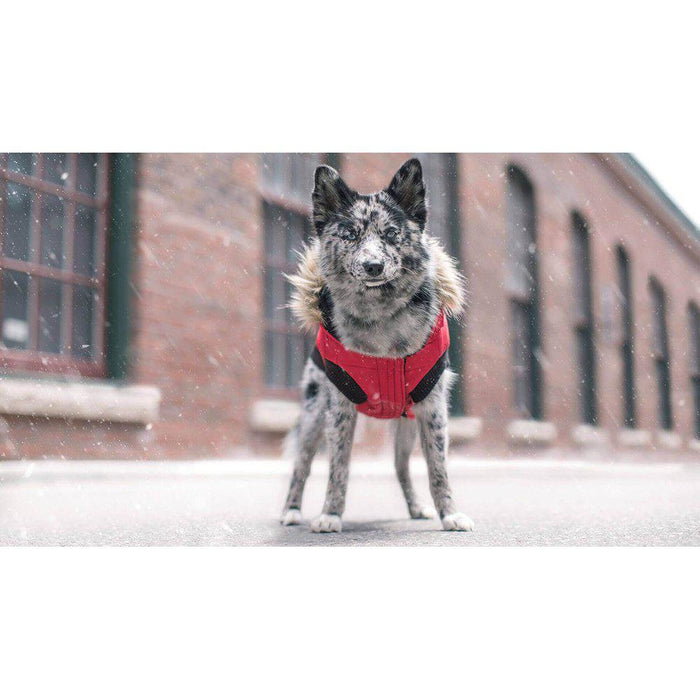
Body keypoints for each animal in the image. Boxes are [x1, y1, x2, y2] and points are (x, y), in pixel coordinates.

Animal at [282, 157, 474, 532]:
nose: (373, 265)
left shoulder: (433, 409)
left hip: (407, 426)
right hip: (313, 415)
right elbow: (338, 468)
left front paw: (450, 513)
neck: (381, 318)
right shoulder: (339, 410)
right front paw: (330, 514)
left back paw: (416, 507)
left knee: (402, 468)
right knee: (302, 466)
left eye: (390, 234)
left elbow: (438, 469)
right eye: (350, 234)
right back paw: (292, 510)